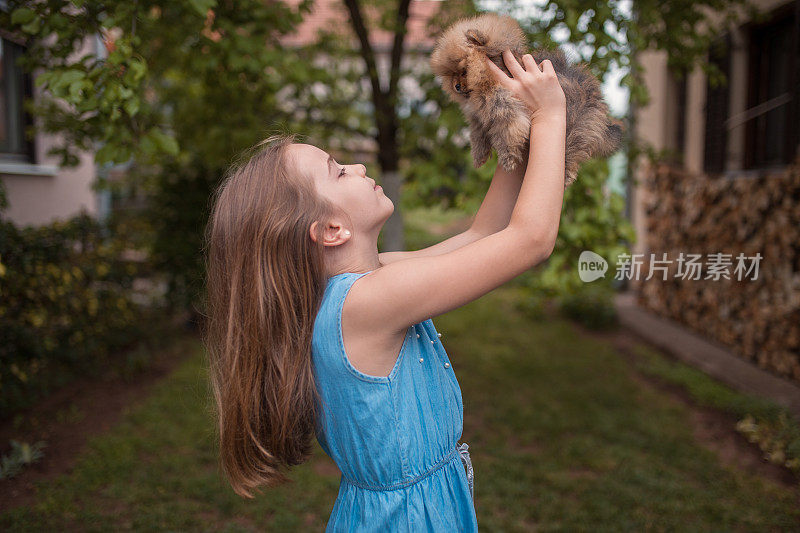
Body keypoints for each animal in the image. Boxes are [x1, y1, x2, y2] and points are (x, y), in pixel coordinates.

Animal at [432, 11, 624, 186]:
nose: (456, 86)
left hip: (574, 125)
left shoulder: (504, 105)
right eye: (452, 74)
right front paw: (479, 155)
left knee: (572, 149)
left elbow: (508, 132)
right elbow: (478, 135)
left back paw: (566, 175)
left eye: (463, 70)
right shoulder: (479, 117)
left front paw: (508, 159)